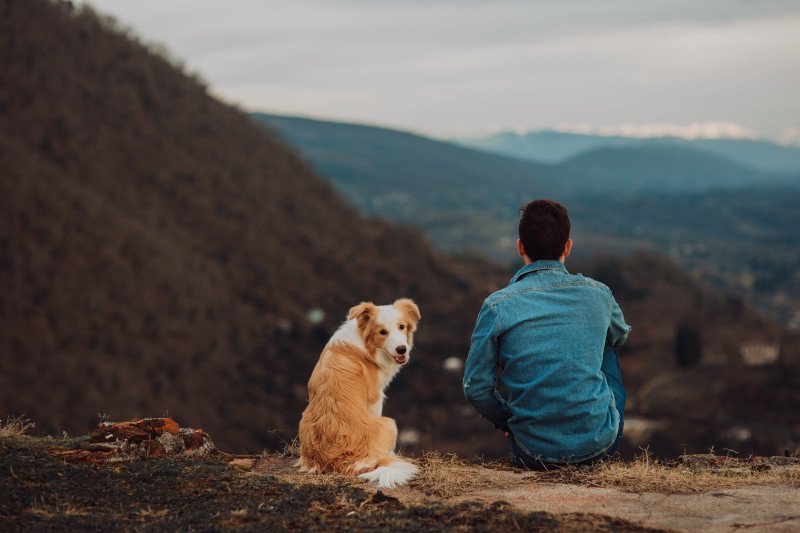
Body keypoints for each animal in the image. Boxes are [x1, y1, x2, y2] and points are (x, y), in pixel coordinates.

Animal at [298, 298, 422, 488]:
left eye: (401, 326)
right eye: (382, 332)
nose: (402, 349)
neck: (366, 344)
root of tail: (340, 459)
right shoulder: (376, 398)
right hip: (389, 424)